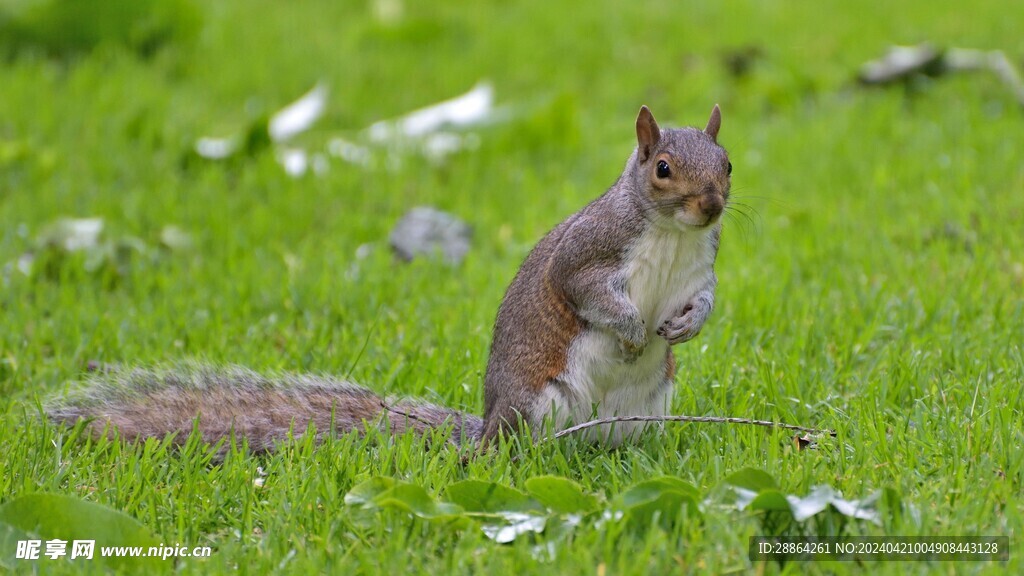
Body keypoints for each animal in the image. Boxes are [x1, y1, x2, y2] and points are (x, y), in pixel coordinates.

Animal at [48, 104, 733, 453]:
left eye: (726, 163)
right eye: (663, 168)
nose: (712, 206)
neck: (672, 234)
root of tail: (485, 430)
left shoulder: (702, 266)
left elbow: (704, 300)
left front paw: (685, 326)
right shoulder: (588, 252)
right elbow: (584, 292)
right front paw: (631, 329)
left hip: (646, 412)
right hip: (537, 407)